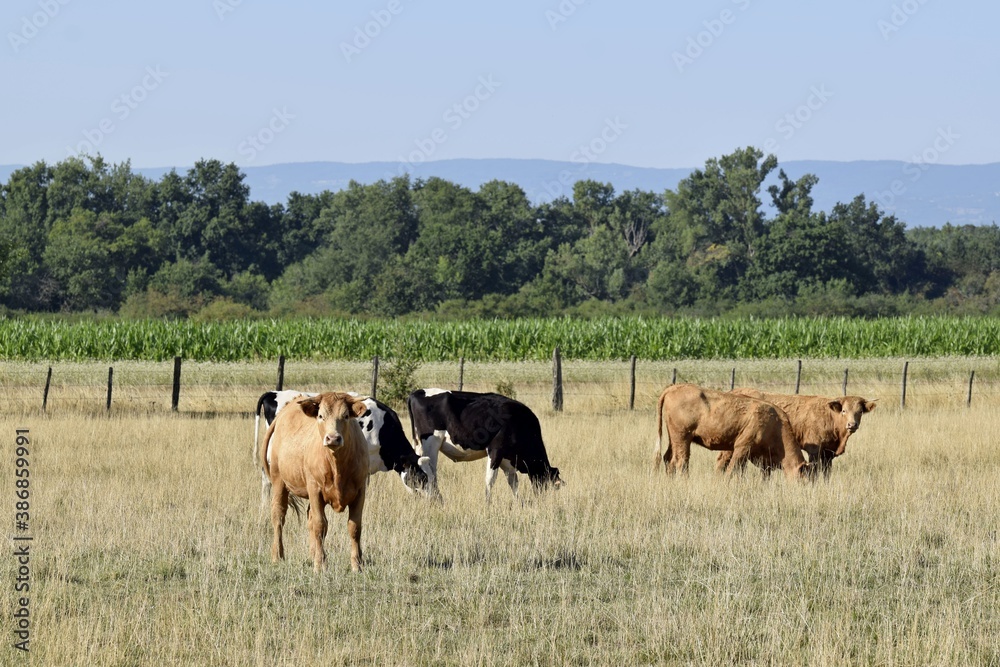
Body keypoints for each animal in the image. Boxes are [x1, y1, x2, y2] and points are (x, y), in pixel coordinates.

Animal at [262, 392, 372, 576]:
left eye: (346, 416)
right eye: (321, 416)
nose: (333, 438)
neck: (337, 465)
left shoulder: (360, 491)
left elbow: (354, 528)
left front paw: (357, 564)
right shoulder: (315, 490)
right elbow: (320, 525)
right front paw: (320, 565)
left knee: (309, 519)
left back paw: (311, 554)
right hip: (279, 481)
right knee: (278, 516)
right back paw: (278, 555)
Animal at [404, 386, 564, 500]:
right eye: (548, 485)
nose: (542, 500)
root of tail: (416, 393)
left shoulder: (507, 458)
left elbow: (513, 481)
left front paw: (519, 502)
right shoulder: (496, 450)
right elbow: (490, 479)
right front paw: (488, 502)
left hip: (420, 445)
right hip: (430, 443)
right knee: (431, 472)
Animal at [656, 384, 812, 482]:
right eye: (804, 479)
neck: (776, 424)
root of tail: (673, 388)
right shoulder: (742, 447)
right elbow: (732, 469)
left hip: (673, 439)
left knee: (668, 459)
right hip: (682, 438)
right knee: (681, 461)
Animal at [724, 388, 880, 478]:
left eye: (860, 412)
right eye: (843, 410)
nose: (852, 425)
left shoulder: (828, 454)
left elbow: (827, 475)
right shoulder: (814, 451)